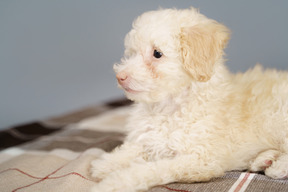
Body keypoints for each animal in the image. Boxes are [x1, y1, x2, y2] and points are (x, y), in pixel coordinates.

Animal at [90, 7, 288, 192]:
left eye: (157, 53)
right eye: (132, 53)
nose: (120, 77)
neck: (169, 106)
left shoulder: (199, 159)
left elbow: (151, 170)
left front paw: (114, 183)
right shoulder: (148, 140)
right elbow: (130, 150)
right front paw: (105, 164)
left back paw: (277, 167)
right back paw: (265, 159)